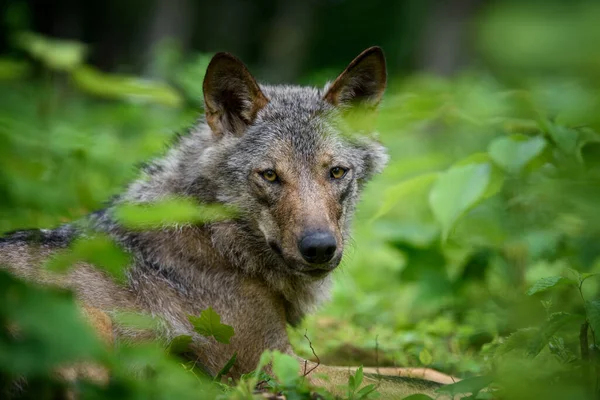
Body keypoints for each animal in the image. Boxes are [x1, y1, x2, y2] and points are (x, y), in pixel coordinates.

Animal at [0, 47, 450, 396]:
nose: (320, 248)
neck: (220, 242)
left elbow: (421, 372)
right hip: (91, 325)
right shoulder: (276, 363)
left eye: (337, 172)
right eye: (270, 175)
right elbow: (414, 386)